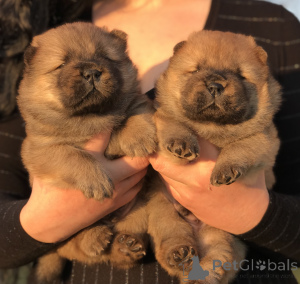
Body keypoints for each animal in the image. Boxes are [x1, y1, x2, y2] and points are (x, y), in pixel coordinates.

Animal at [17, 22, 156, 282]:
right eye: (62, 64)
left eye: (105, 57)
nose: (92, 72)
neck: (90, 116)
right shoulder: (40, 149)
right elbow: (73, 155)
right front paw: (96, 181)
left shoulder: (134, 100)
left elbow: (136, 112)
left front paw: (141, 135)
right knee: (79, 245)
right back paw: (95, 237)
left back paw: (126, 247)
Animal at [149, 30, 282, 282]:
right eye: (195, 70)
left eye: (241, 75)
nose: (215, 85)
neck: (212, 126)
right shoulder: (161, 118)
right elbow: (174, 124)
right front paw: (181, 145)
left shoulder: (264, 140)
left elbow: (240, 146)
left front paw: (224, 171)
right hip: (164, 214)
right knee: (171, 239)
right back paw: (178, 253)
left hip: (219, 233)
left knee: (217, 257)